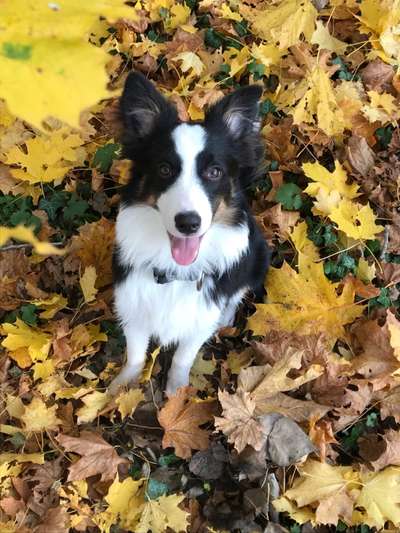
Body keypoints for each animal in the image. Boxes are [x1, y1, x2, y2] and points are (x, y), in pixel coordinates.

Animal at [108, 70, 268, 394]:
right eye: (165, 169)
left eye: (215, 171)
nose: (188, 223)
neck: (174, 272)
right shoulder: (133, 307)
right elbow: (135, 353)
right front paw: (121, 387)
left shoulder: (199, 319)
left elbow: (183, 356)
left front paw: (177, 392)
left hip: (257, 255)